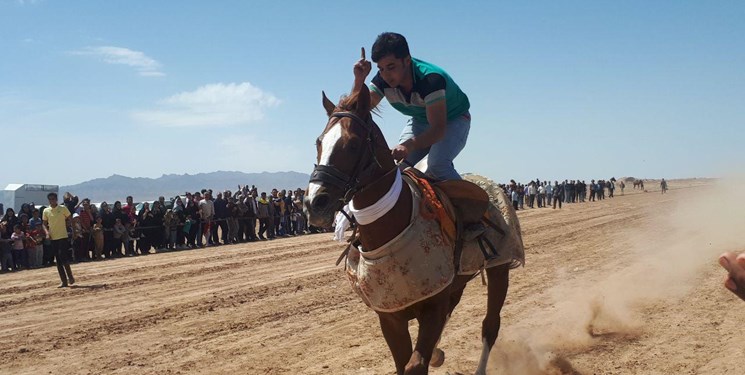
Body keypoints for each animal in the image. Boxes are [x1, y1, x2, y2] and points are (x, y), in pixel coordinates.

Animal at [304, 85, 524, 375]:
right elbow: (403, 362)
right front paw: (435, 354)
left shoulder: (433, 305)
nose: (314, 202)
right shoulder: (390, 317)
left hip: (500, 266)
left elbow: (415, 364)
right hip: (459, 281)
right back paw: (439, 353)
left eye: (352, 143)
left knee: (490, 324)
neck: (389, 231)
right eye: (319, 142)